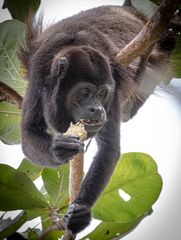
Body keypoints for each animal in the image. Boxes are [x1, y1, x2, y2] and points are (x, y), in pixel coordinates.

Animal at [19, 1, 175, 234]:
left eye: (103, 93)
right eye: (84, 93)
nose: (99, 110)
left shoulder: (113, 80)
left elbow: (109, 149)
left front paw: (81, 212)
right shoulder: (39, 76)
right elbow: (28, 132)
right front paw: (59, 148)